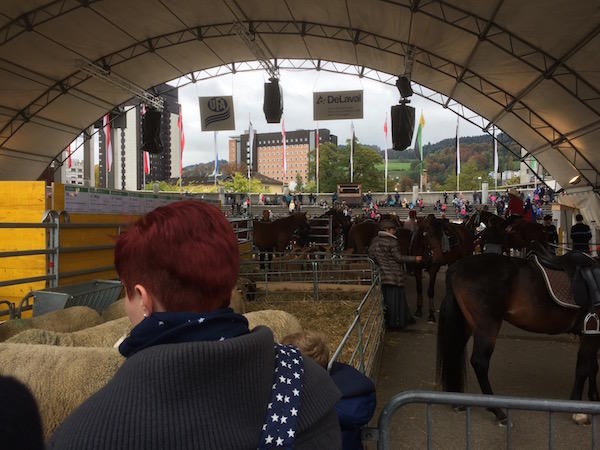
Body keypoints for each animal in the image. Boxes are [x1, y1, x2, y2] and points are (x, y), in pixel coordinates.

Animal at [437, 251, 600, 424]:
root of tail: (456, 267)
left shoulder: (590, 335)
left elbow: (592, 367)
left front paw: (594, 397)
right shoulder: (591, 333)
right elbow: (583, 368)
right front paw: (579, 412)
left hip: (466, 323)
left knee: (454, 352)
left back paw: (457, 402)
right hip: (487, 325)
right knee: (480, 362)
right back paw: (498, 411)